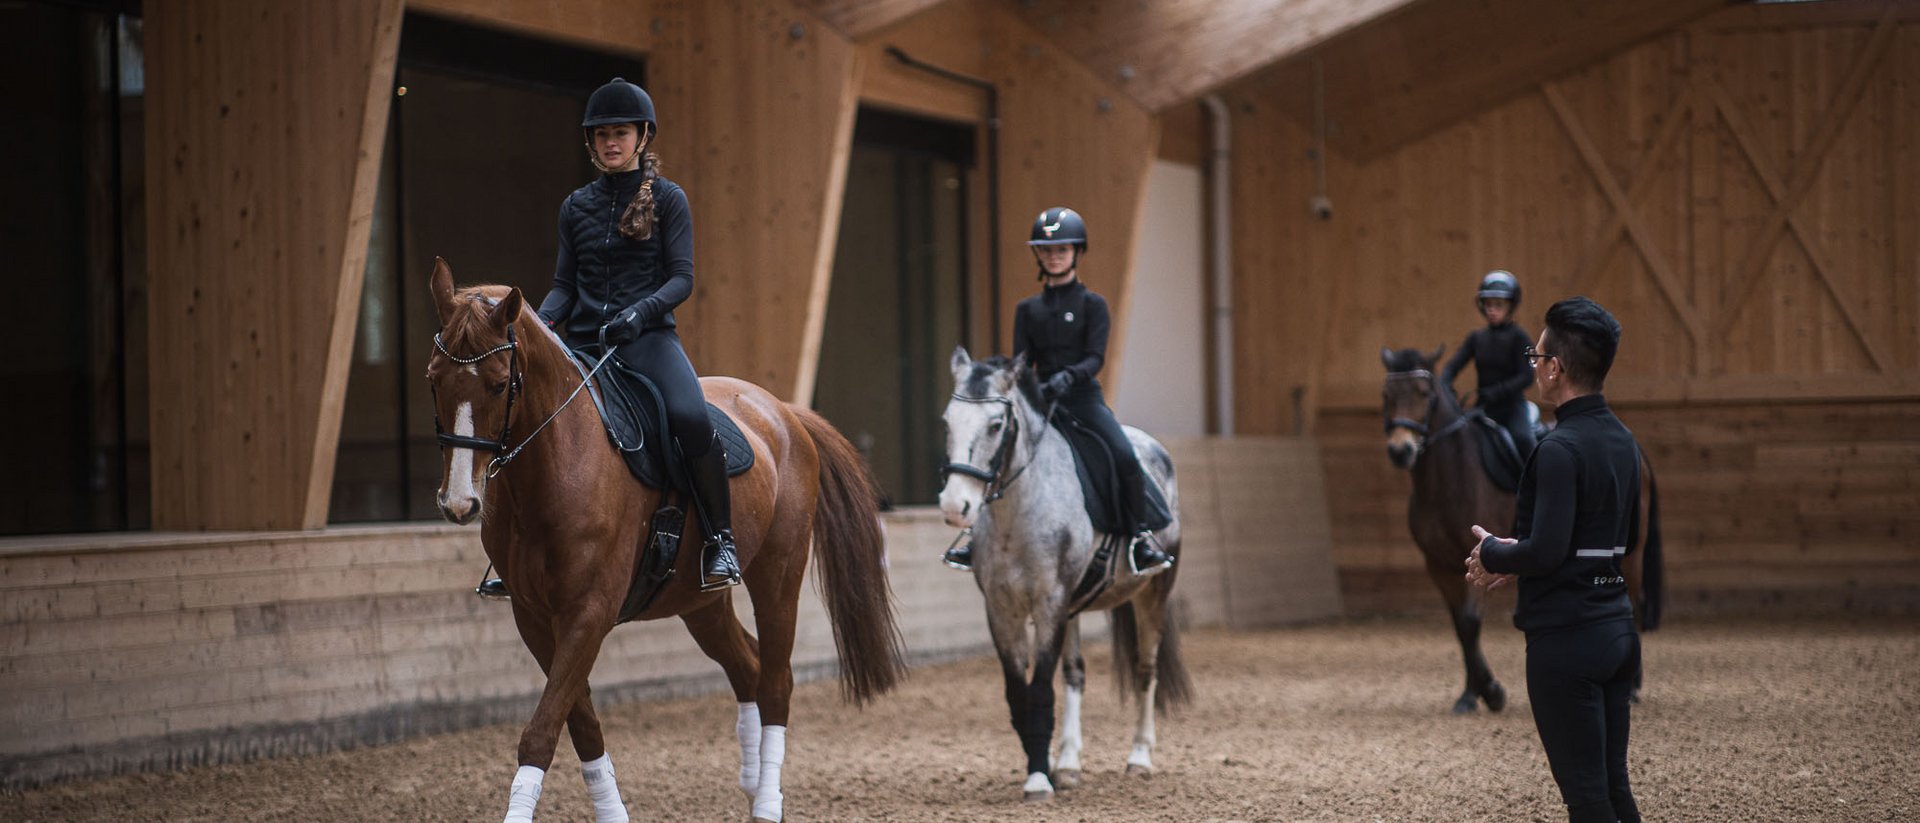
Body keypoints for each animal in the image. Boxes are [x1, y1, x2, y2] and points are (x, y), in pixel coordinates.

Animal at [426, 259, 906, 823]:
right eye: (434, 379)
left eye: (501, 385)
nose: (460, 502)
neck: (558, 465)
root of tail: (785, 413)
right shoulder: (534, 616)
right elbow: (579, 721)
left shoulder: (590, 611)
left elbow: (542, 730)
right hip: (699, 600)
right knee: (748, 666)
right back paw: (752, 782)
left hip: (778, 575)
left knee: (776, 680)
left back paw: (767, 801)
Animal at [937, 348, 1192, 802]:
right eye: (947, 421)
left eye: (996, 425)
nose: (954, 506)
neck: (1017, 515)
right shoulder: (1001, 610)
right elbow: (1018, 693)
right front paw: (1043, 768)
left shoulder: (1050, 602)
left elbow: (1039, 690)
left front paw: (1039, 780)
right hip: (1073, 607)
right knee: (1076, 674)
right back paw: (1070, 762)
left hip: (1153, 591)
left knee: (1146, 669)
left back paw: (1139, 757)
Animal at [1379, 346, 1663, 714]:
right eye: (1387, 395)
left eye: (1424, 393)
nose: (1401, 450)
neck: (1446, 479)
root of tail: (1636, 451)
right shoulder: (1440, 566)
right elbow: (1461, 628)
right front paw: (1470, 695)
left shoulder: (1475, 557)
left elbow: (1470, 620)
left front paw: (1491, 692)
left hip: (1632, 551)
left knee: (1636, 603)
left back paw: (1633, 686)